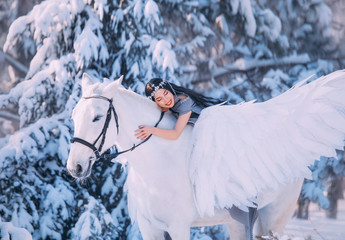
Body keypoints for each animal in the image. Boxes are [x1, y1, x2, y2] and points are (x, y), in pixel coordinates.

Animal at [68, 74, 306, 239]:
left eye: (97, 117)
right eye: (74, 115)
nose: (74, 167)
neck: (158, 163)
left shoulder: (178, 226)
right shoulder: (149, 227)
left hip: (274, 217)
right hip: (238, 222)